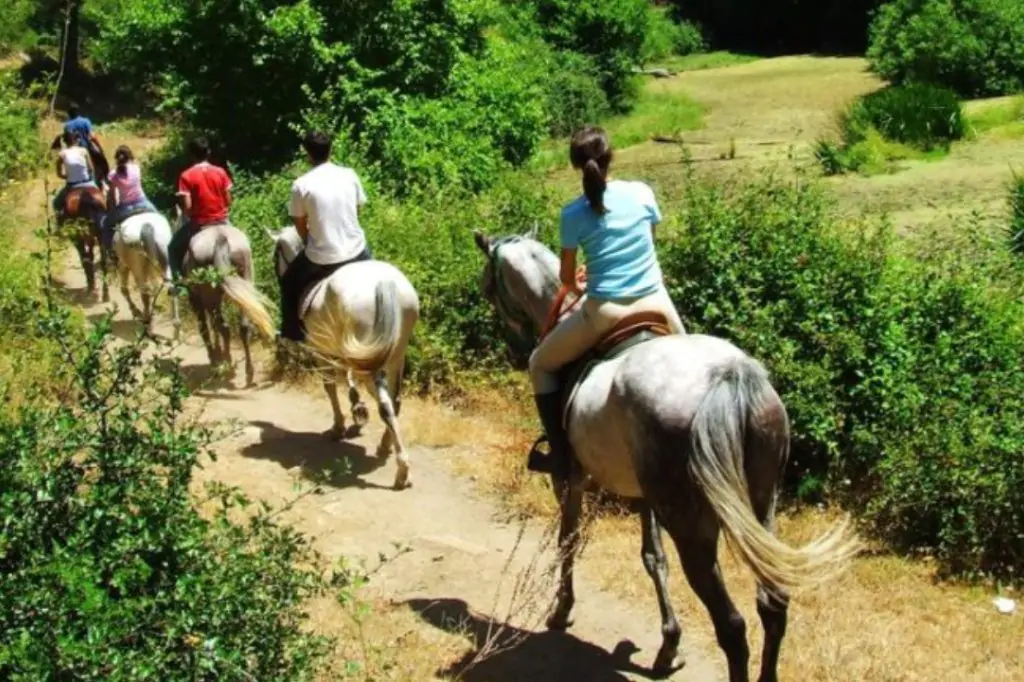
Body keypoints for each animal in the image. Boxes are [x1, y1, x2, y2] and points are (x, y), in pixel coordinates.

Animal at [475, 229, 860, 679]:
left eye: (488, 286)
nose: (518, 349)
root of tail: (729, 377)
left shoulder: (571, 481)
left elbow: (569, 540)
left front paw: (561, 610)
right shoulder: (646, 496)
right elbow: (653, 557)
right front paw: (668, 646)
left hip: (691, 524)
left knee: (732, 625)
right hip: (762, 506)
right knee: (773, 604)